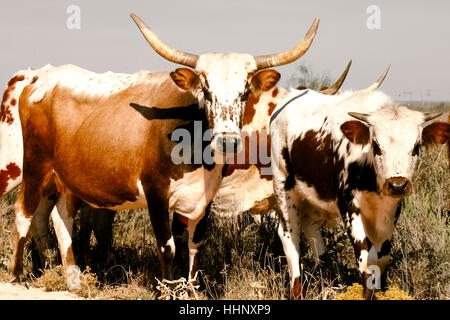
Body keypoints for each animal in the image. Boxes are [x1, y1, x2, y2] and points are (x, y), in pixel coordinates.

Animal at [8, 13, 320, 288]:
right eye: (206, 91)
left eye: (245, 93)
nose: (228, 141)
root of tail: (38, 80)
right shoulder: (155, 192)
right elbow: (167, 246)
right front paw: (169, 289)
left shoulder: (204, 198)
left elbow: (194, 245)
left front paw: (191, 290)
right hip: (35, 165)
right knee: (23, 213)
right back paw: (16, 275)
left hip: (68, 178)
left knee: (61, 219)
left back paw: (74, 281)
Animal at [268, 67, 448, 300]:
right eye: (376, 145)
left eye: (416, 146)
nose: (397, 185)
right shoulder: (349, 207)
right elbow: (366, 259)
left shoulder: (390, 210)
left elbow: (382, 257)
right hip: (283, 187)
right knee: (290, 235)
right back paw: (296, 290)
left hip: (314, 194)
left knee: (312, 229)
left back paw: (325, 277)